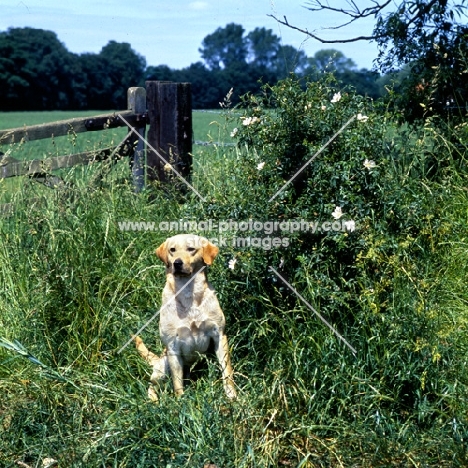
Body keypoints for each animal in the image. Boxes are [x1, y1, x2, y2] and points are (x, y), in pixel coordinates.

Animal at [135, 233, 238, 398]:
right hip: (163, 366)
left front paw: (231, 395)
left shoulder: (219, 335)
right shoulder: (172, 346)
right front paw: (180, 400)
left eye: (191, 249)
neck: (189, 293)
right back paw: (154, 400)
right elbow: (177, 383)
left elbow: (227, 371)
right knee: (152, 386)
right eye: (172, 250)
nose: (177, 263)